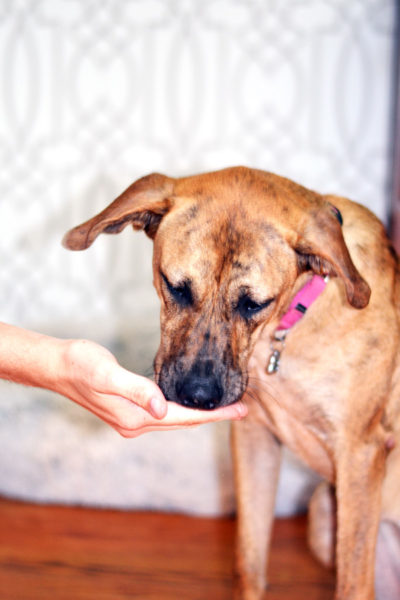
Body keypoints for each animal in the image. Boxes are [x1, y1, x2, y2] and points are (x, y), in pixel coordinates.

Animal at [62, 165, 400, 600]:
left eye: (254, 304)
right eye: (175, 286)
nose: (197, 395)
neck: (285, 330)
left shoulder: (360, 453)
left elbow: (353, 584)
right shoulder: (255, 437)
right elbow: (249, 560)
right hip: (323, 515)